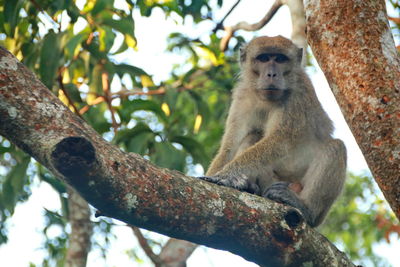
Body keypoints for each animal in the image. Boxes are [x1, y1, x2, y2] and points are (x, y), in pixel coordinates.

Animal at [200, 36, 346, 228]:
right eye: (263, 58)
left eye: (280, 59)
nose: (271, 74)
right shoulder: (242, 97)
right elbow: (229, 147)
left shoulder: (298, 95)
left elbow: (280, 141)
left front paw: (227, 175)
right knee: (252, 136)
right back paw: (249, 187)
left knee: (336, 147)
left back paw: (306, 208)